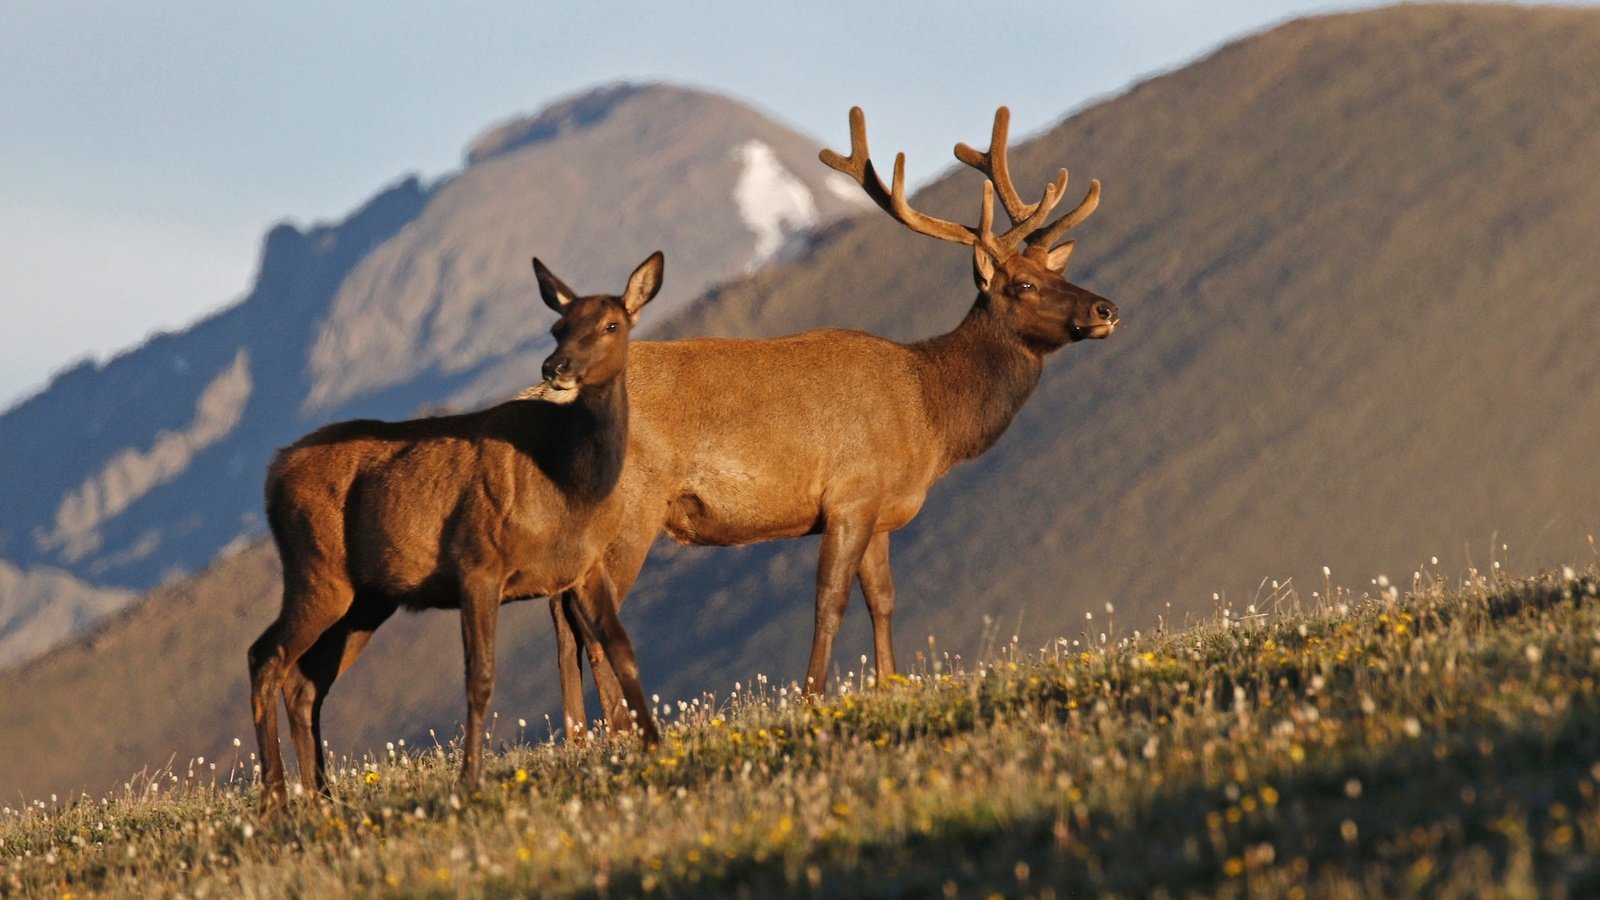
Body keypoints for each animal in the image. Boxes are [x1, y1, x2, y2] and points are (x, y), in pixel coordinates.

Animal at [241, 248, 662, 810]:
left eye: (612, 324)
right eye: (558, 326)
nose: (555, 367)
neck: (568, 482)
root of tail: (271, 474)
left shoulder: (585, 567)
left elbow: (623, 649)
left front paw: (654, 746)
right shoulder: (478, 561)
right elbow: (479, 678)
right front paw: (468, 780)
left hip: (366, 599)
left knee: (305, 683)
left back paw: (323, 798)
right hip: (316, 570)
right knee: (265, 657)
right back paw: (275, 803)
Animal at [544, 106, 1120, 736]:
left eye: (1057, 271)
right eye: (1024, 284)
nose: (1105, 308)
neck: (931, 414)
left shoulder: (880, 511)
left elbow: (883, 599)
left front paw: (890, 684)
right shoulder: (851, 493)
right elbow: (831, 601)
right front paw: (812, 697)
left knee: (561, 611)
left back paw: (578, 735)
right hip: (632, 506)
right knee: (589, 613)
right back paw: (619, 729)